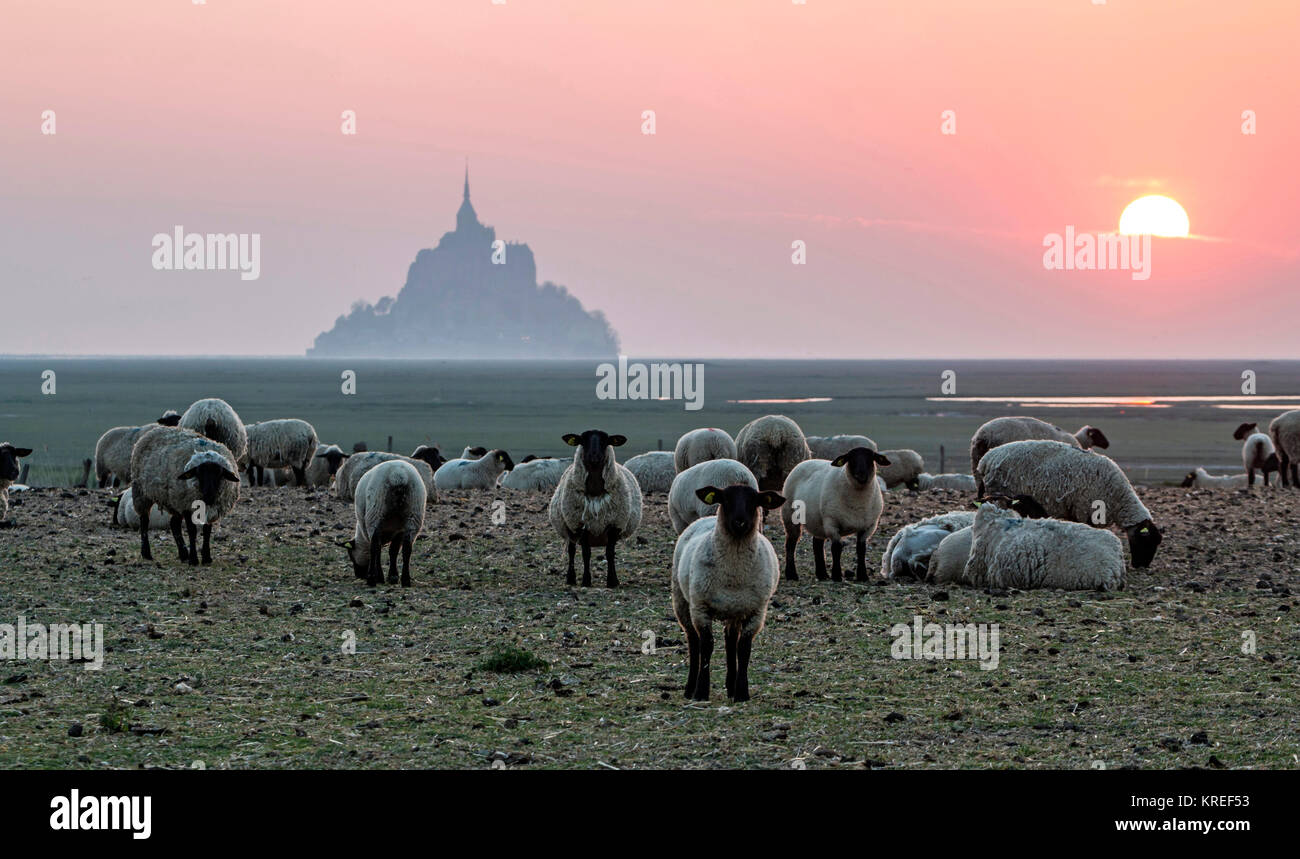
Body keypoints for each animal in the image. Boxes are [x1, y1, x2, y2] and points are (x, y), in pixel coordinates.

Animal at [129, 427, 240, 565]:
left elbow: (207, 531)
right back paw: (146, 553)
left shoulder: (209, 509)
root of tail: (154, 430)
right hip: (141, 492)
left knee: (174, 524)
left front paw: (206, 557)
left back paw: (183, 554)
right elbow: (192, 530)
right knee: (144, 521)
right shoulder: (187, 506)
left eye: (219, 474)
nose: (209, 495)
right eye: (198, 473)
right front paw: (193, 559)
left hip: (173, 501)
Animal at [548, 430, 643, 588]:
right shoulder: (581, 524)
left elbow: (610, 553)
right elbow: (586, 553)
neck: (595, 492)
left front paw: (612, 581)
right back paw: (570, 578)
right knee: (571, 551)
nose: (594, 456)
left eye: (605, 441)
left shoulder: (614, 524)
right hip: (569, 527)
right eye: (583, 440)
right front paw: (586, 581)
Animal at [672, 484, 785, 702]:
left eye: (754, 501)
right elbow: (706, 646)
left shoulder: (756, 611)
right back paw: (690, 688)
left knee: (730, 641)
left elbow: (744, 649)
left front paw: (741, 692)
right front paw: (701, 691)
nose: (740, 522)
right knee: (693, 642)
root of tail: (705, 518)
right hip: (682, 601)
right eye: (725, 499)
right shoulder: (701, 608)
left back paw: (731, 686)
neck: (734, 574)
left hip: (735, 609)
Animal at [780, 446, 891, 581]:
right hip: (789, 515)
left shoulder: (868, 526)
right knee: (791, 543)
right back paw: (791, 574)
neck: (858, 502)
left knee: (817, 544)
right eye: (850, 458)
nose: (861, 475)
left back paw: (822, 574)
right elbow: (836, 549)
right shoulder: (832, 522)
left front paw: (862, 575)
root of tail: (805, 461)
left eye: (871, 458)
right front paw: (837, 575)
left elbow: (861, 550)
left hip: (818, 521)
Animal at [971, 417, 1110, 495]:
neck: (1079, 440)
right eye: (1097, 434)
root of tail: (983, 435)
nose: (1107, 444)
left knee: (979, 481)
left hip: (977, 459)